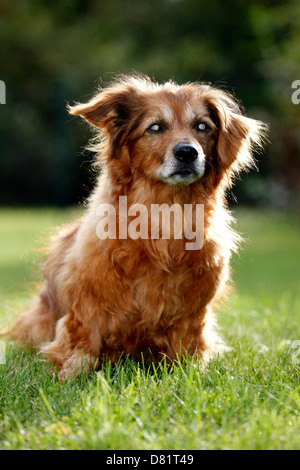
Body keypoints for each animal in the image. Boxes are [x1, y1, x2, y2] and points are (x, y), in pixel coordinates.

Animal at [4, 75, 266, 380]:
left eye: (203, 126)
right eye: (155, 127)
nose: (187, 153)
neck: (165, 215)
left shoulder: (193, 313)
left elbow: (189, 347)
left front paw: (191, 375)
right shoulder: (86, 303)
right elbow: (82, 342)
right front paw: (70, 376)